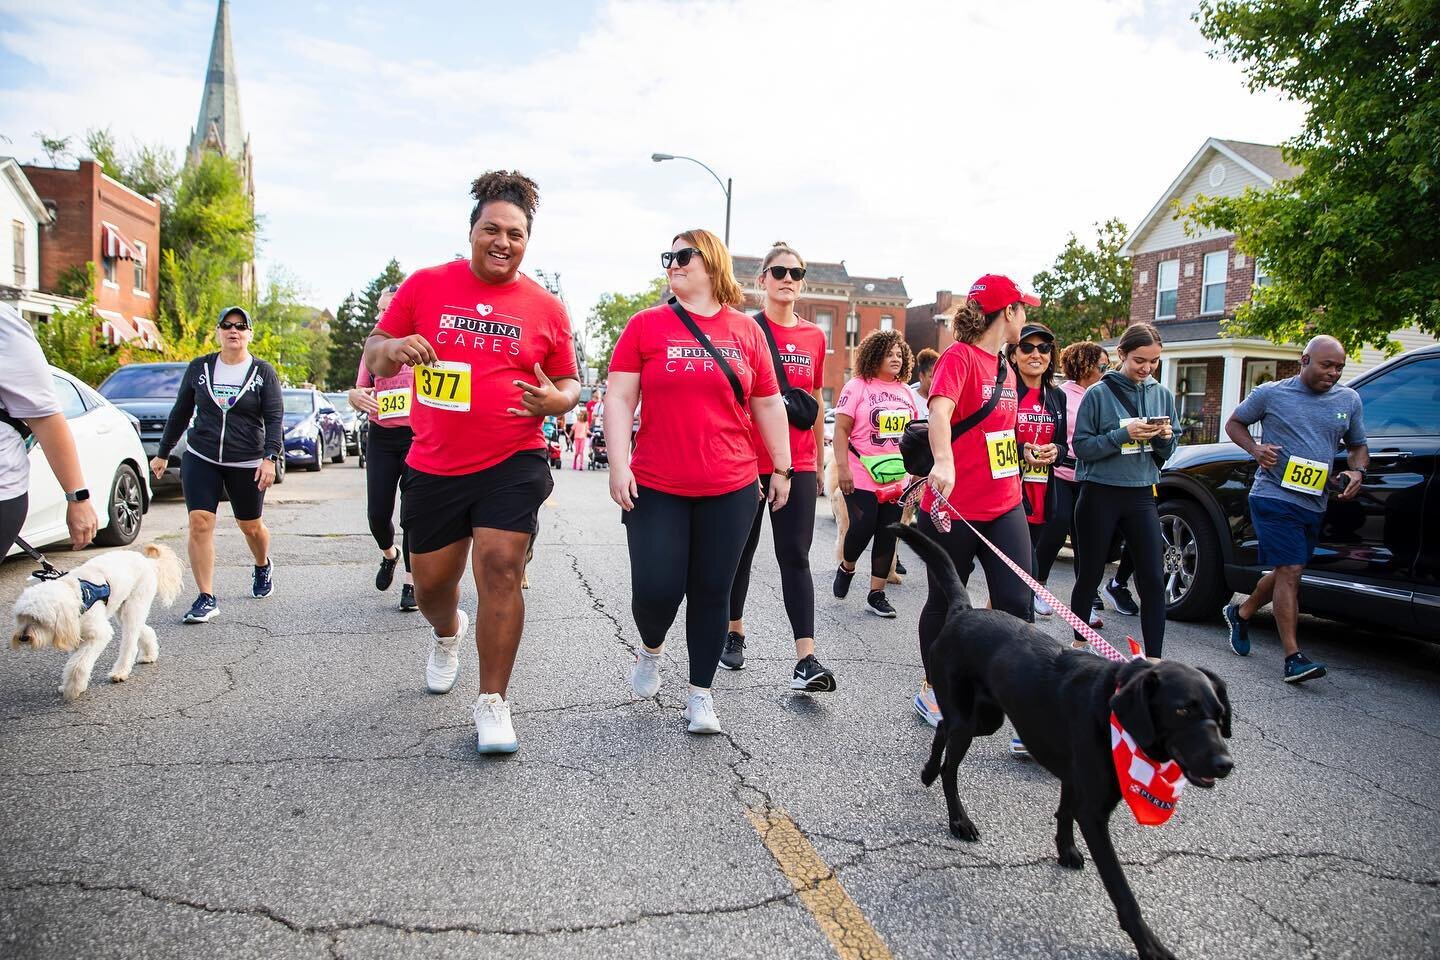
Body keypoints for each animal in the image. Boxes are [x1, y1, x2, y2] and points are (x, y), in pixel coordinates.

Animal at [10, 544, 182, 702]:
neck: (78, 595)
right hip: (123, 610)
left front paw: (72, 689)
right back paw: (149, 655)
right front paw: (71, 685)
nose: (23, 638)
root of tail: (147, 561)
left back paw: (120, 672)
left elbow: (78, 664)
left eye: (38, 620)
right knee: (145, 630)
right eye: (21, 617)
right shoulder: (76, 635)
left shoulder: (98, 634)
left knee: (130, 644)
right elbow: (75, 661)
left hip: (134, 606)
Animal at [892, 526, 1232, 960]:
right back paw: (958, 821)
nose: (1225, 763)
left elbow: (1064, 812)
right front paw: (1148, 944)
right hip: (971, 723)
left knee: (942, 731)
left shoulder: (1075, 780)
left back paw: (928, 771)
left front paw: (1065, 850)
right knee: (952, 767)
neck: (1112, 710)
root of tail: (963, 611)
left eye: (1218, 714)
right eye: (1182, 711)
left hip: (986, 718)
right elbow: (1121, 888)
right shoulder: (1095, 811)